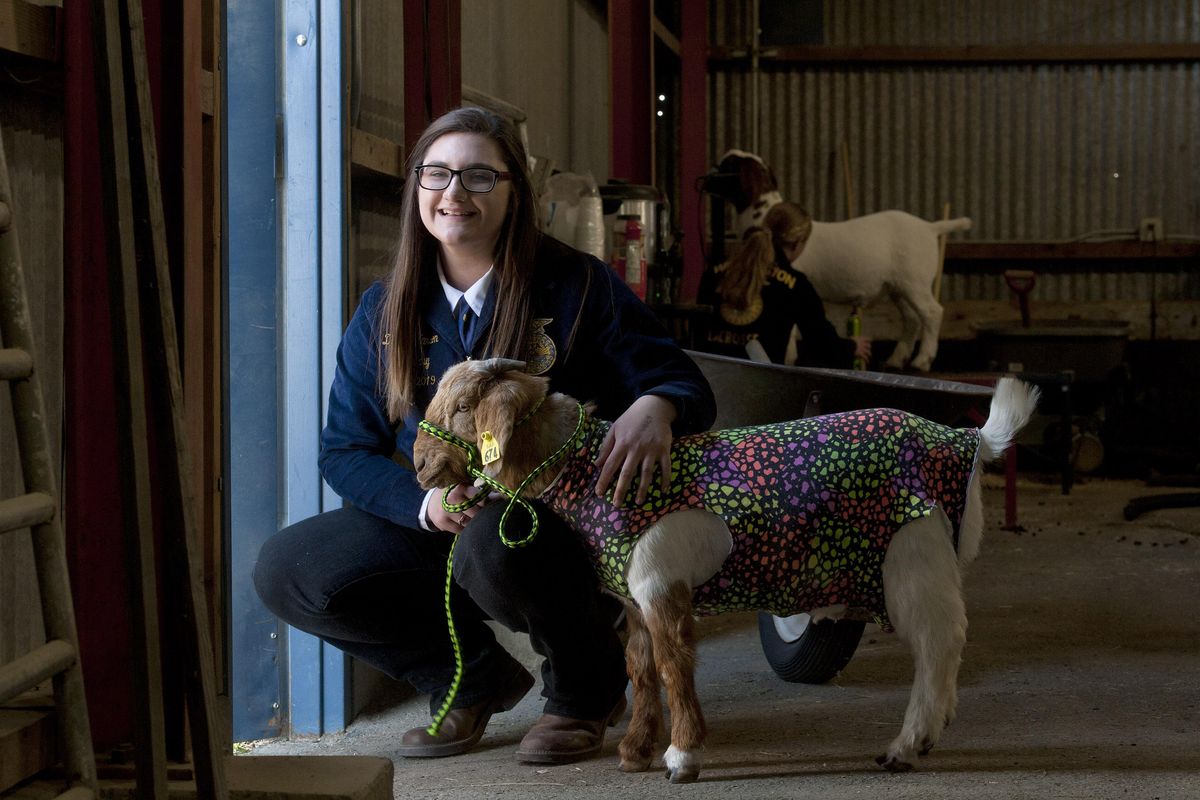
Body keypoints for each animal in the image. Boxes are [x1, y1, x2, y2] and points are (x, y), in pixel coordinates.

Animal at [417, 359, 1036, 786]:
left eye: (462, 408)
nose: (420, 464)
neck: (589, 471)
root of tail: (966, 438)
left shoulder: (660, 583)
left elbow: (675, 668)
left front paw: (683, 757)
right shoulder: (635, 599)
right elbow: (642, 670)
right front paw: (636, 752)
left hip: (912, 556)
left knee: (940, 643)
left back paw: (907, 745)